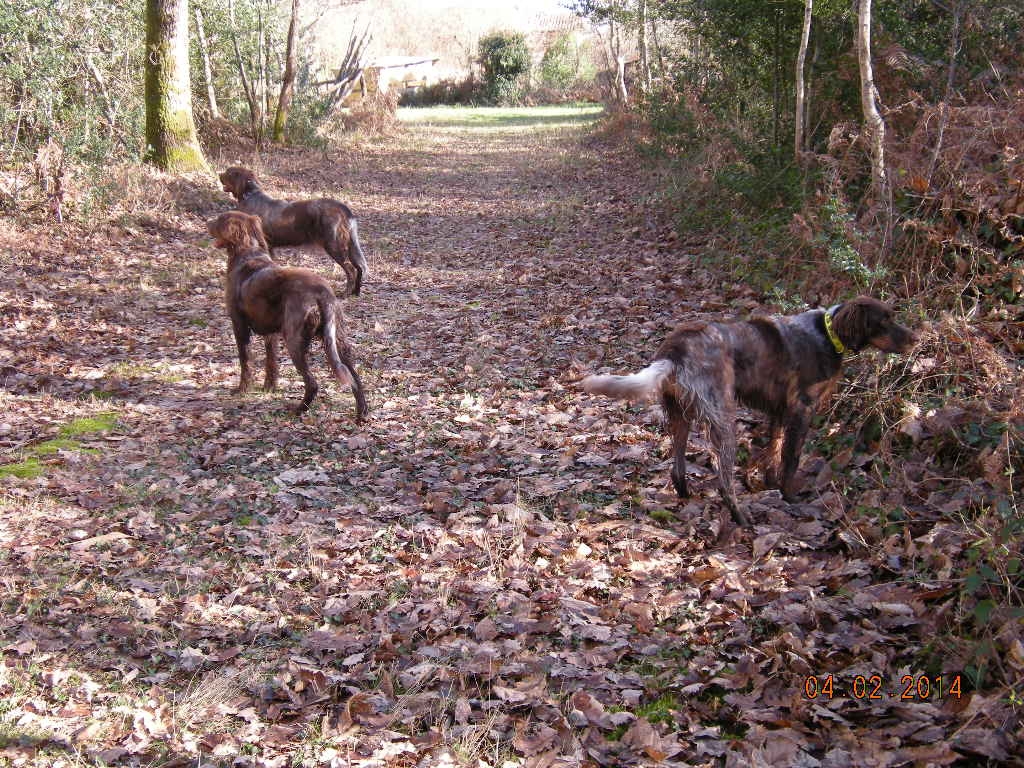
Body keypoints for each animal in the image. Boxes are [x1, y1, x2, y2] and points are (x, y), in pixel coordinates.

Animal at [207, 214, 368, 423]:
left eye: (219, 220)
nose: (207, 223)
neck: (248, 254)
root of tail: (322, 293)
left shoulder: (239, 325)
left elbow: (245, 361)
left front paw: (242, 390)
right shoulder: (271, 333)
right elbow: (271, 363)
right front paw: (269, 388)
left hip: (294, 341)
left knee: (312, 383)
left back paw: (298, 410)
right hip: (337, 341)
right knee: (354, 378)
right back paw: (361, 413)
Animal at [220, 166, 368, 296]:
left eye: (229, 173)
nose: (219, 174)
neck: (250, 195)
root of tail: (343, 209)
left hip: (334, 245)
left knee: (351, 270)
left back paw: (346, 293)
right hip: (348, 245)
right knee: (359, 268)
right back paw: (356, 292)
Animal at [581, 296, 917, 528]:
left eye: (893, 316)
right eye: (883, 321)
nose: (917, 338)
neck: (827, 332)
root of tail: (674, 352)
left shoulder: (779, 411)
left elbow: (773, 450)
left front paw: (767, 482)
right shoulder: (801, 410)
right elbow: (790, 459)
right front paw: (788, 496)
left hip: (681, 416)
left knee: (677, 469)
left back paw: (687, 497)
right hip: (723, 419)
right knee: (724, 481)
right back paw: (741, 519)